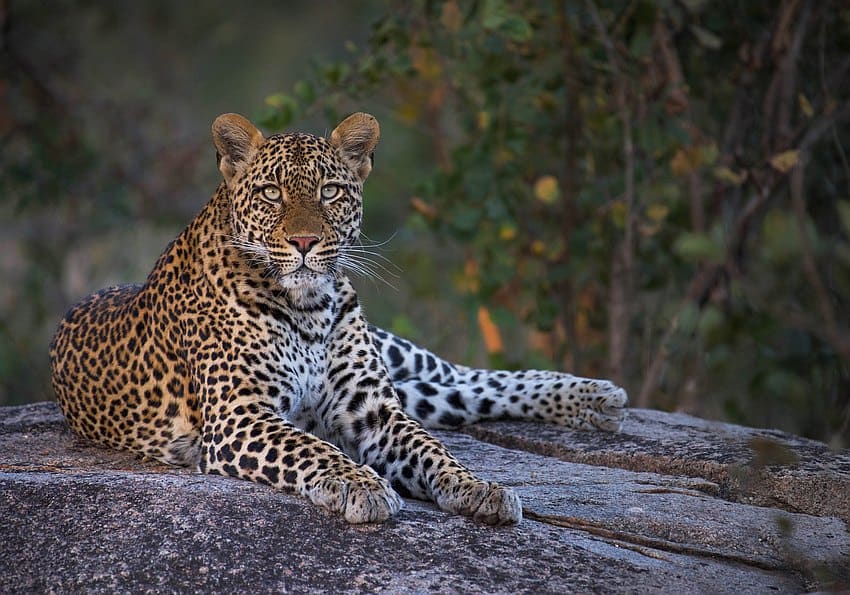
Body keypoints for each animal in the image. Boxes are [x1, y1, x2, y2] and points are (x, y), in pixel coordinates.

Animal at [49, 112, 628, 528]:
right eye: (271, 193)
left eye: (330, 191)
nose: (305, 242)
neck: (307, 306)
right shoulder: (240, 416)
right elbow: (313, 447)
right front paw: (362, 485)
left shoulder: (372, 409)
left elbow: (429, 449)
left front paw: (475, 487)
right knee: (459, 396)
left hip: (397, 356)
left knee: (471, 378)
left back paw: (594, 396)